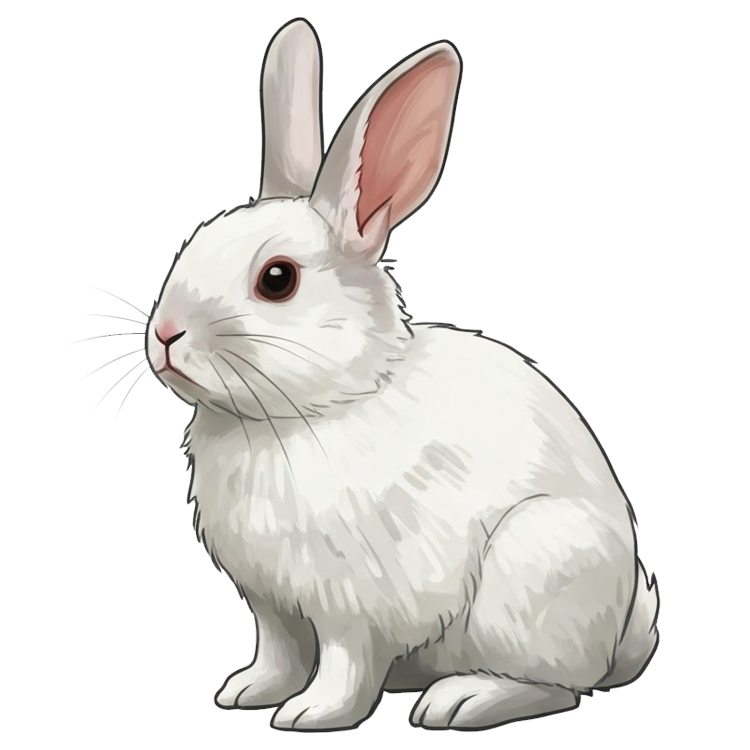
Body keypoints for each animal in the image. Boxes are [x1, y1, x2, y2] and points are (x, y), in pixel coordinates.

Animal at [145, 18, 659, 731]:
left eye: (277, 279)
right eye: (192, 245)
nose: (165, 336)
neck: (314, 407)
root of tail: (619, 639)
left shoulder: (352, 608)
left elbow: (345, 663)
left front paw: (312, 714)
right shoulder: (272, 605)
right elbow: (277, 651)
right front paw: (246, 692)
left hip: (529, 574)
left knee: (557, 687)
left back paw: (460, 701)